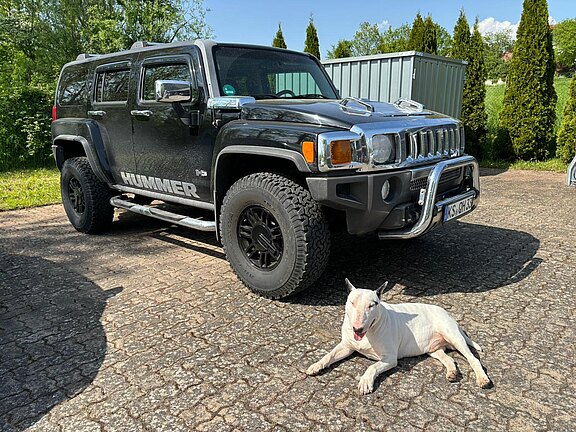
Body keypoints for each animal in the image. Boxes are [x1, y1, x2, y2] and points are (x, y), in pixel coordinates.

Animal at [306, 279, 491, 394]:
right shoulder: (346, 346)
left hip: (453, 336)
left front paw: (365, 382)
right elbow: (329, 355)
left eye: (372, 305)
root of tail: (447, 313)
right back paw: (452, 372)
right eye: (352, 302)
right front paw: (316, 365)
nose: (357, 329)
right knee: (449, 359)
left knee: (473, 359)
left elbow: (371, 367)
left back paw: (482, 379)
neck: (370, 331)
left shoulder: (389, 359)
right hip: (434, 349)